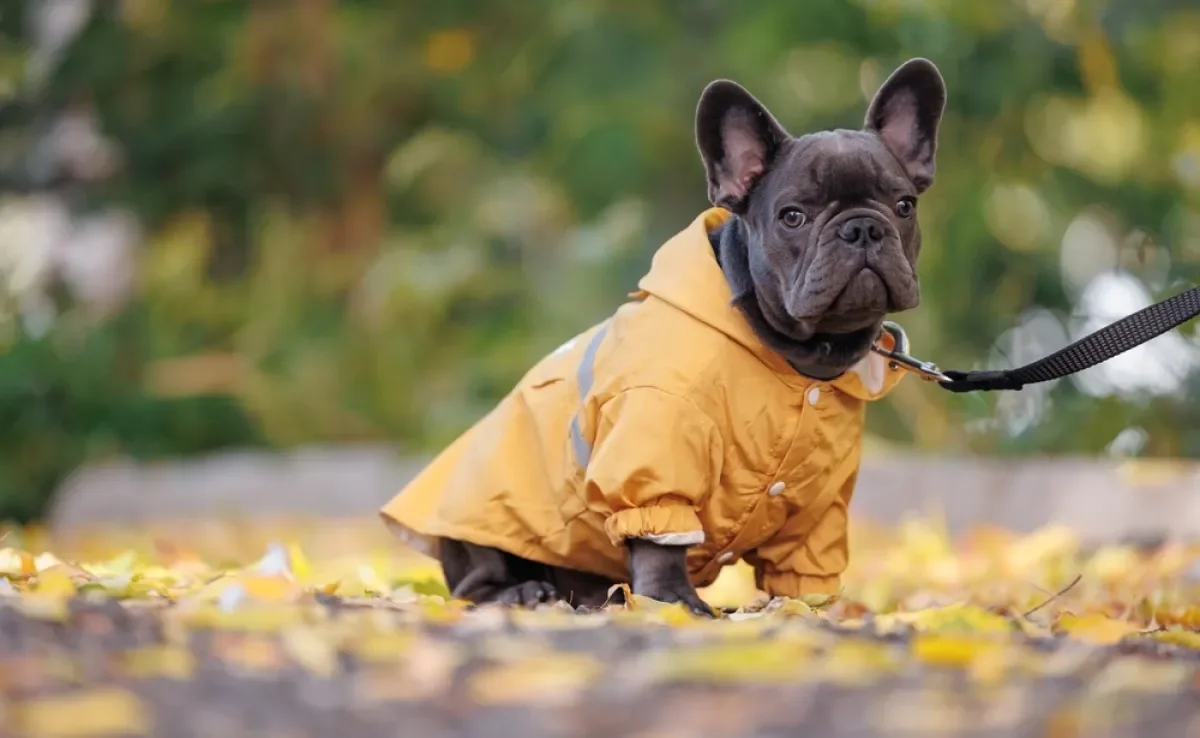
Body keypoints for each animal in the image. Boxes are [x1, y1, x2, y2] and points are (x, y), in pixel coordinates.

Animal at [381, 57, 945, 614]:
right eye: (793, 217)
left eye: (904, 206)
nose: (862, 228)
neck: (800, 357)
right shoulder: (655, 443)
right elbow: (658, 533)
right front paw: (673, 602)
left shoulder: (819, 505)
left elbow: (806, 570)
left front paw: (809, 609)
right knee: (474, 579)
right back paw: (522, 592)